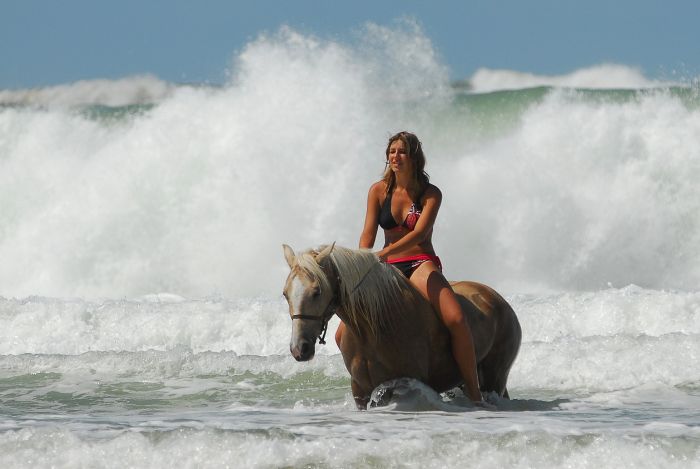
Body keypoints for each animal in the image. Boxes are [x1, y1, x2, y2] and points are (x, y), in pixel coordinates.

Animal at [284, 243, 520, 408]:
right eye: (285, 293)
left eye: (317, 291)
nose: (299, 349)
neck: (373, 332)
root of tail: (495, 298)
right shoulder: (360, 391)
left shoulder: (405, 386)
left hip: (495, 377)